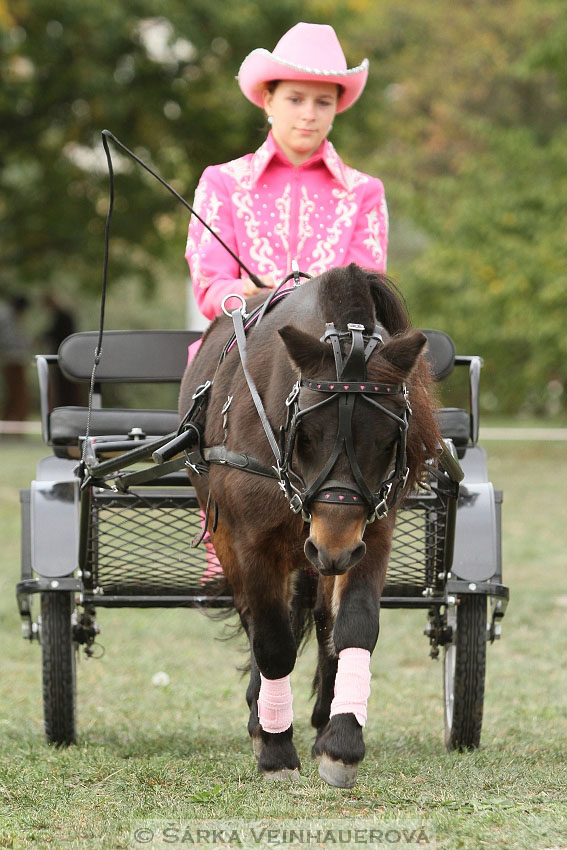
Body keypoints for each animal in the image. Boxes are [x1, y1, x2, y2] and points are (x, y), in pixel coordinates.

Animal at [179, 262, 440, 784]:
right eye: (305, 434)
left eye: (390, 440)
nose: (333, 548)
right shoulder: (253, 541)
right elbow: (272, 640)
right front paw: (276, 747)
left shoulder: (370, 533)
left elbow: (354, 627)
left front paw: (341, 742)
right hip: (235, 537)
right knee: (256, 618)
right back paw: (263, 719)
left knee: (322, 619)